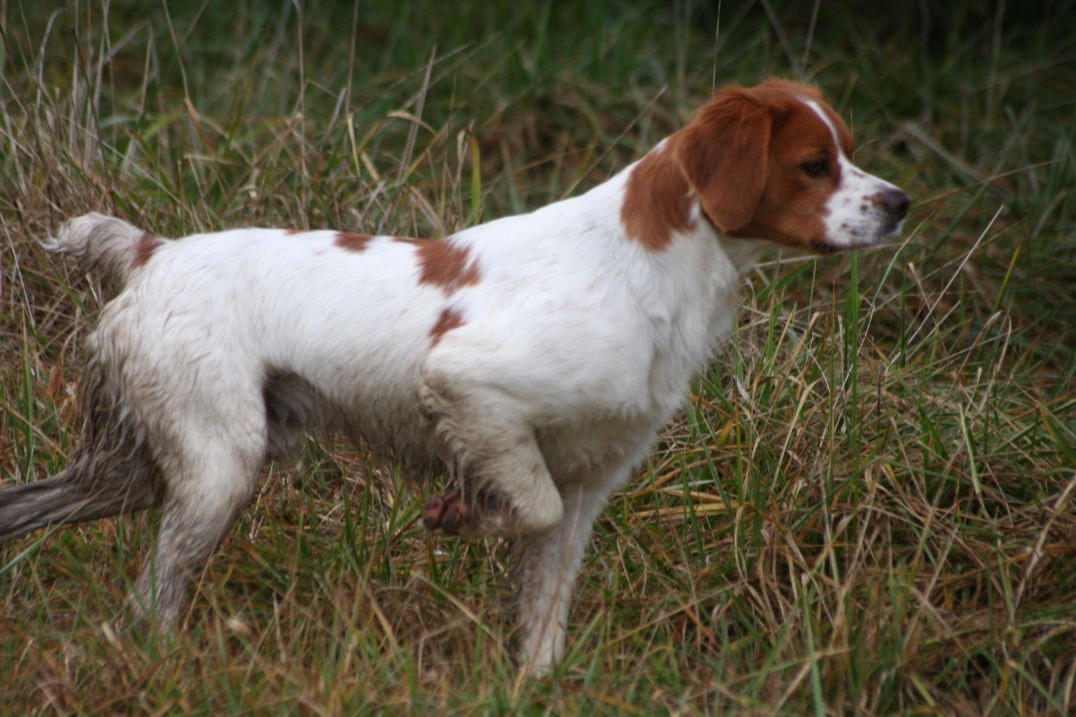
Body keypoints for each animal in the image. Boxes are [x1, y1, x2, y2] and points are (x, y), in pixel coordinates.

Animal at [0, 80, 908, 671]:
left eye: (848, 154)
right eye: (814, 164)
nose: (900, 202)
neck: (643, 267)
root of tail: (152, 250)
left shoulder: (590, 483)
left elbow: (545, 607)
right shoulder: (470, 385)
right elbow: (528, 505)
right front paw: (465, 513)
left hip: (131, 468)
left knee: (28, 508)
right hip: (216, 467)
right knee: (149, 600)